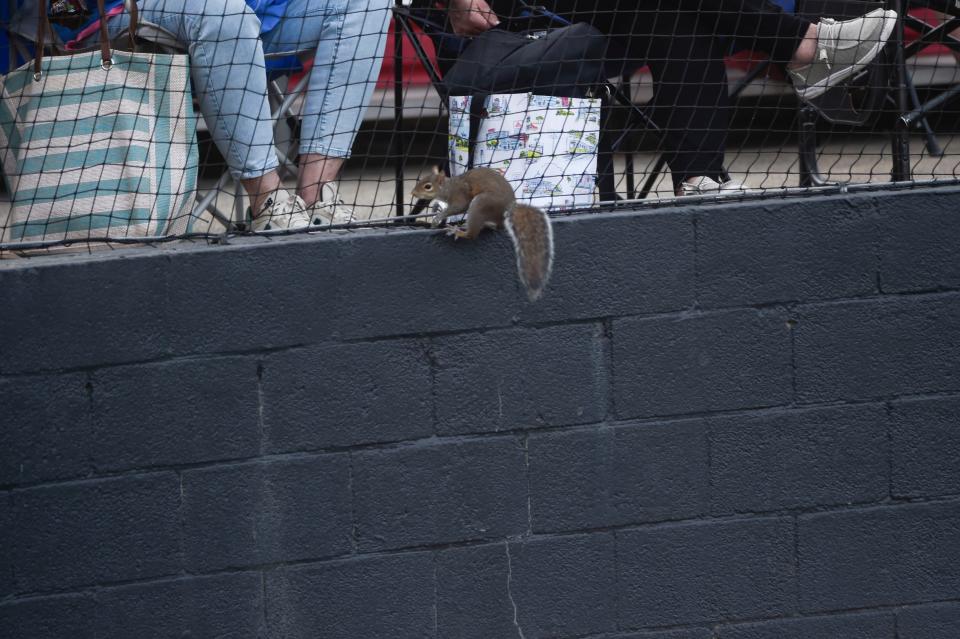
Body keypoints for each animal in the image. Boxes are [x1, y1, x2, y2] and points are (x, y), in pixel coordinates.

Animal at [412, 168, 556, 302]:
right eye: (420, 180)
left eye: (428, 186)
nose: (413, 193)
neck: (448, 186)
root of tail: (506, 213)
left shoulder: (460, 195)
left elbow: (460, 207)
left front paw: (439, 217)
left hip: (480, 204)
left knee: (473, 235)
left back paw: (459, 231)